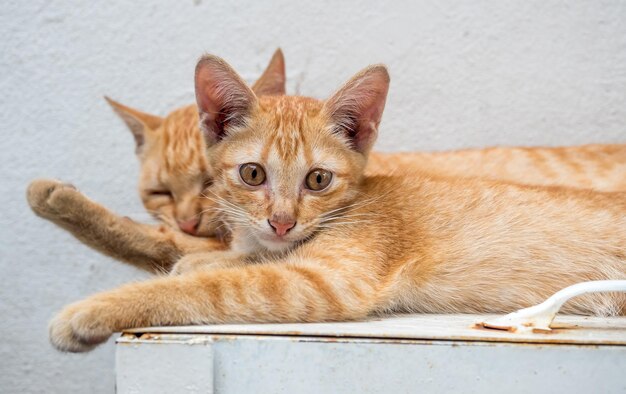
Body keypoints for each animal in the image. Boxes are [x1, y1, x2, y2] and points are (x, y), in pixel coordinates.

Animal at [48, 53, 624, 352]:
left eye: (318, 179)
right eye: (252, 174)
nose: (282, 221)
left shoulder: (323, 280)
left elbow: (207, 289)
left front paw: (91, 311)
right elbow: (227, 260)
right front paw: (207, 256)